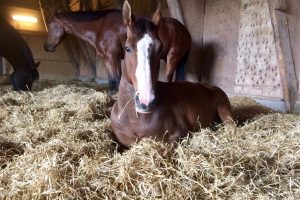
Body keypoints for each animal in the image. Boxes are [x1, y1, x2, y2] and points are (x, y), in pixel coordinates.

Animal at [43, 7, 191, 94]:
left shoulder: (113, 58)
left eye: (49, 25)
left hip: (172, 59)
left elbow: (116, 78)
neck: (101, 28)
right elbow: (112, 80)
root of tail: (184, 31)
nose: (46, 47)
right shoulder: (109, 59)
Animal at [110, 0, 234, 148]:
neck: (134, 118)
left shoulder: (179, 135)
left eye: (160, 49)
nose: (146, 102)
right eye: (127, 48)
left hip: (225, 112)